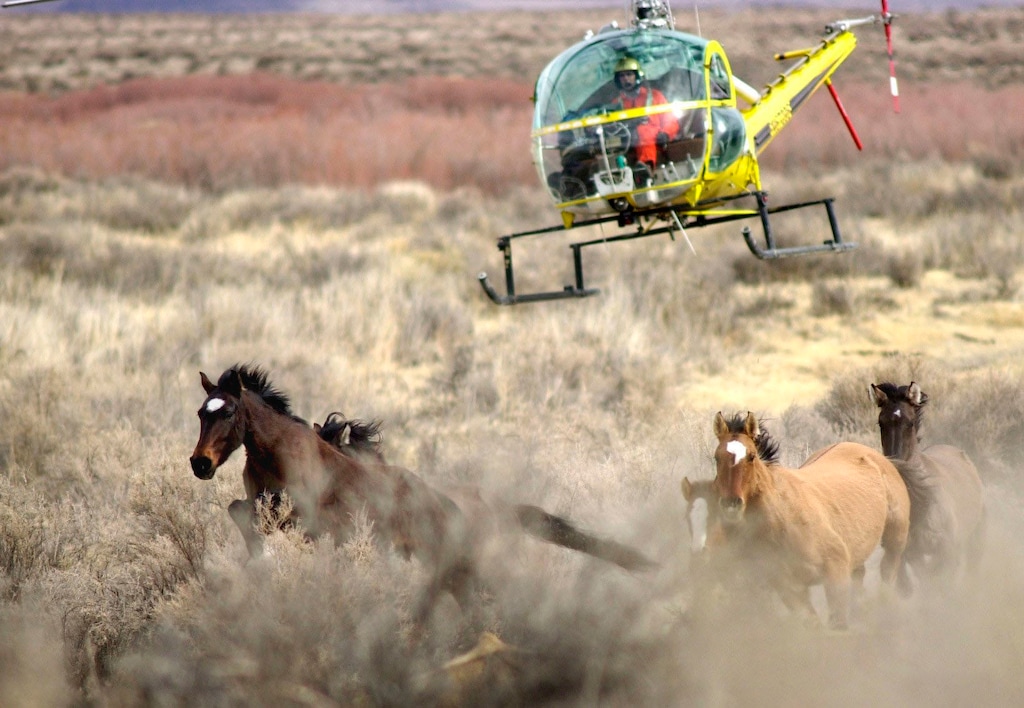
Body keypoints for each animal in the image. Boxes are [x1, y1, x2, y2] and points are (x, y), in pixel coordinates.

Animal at [710, 411, 910, 629]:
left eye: (751, 456)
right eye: (716, 457)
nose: (731, 504)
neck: (782, 519)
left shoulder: (836, 572)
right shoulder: (791, 589)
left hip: (894, 543)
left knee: (888, 576)